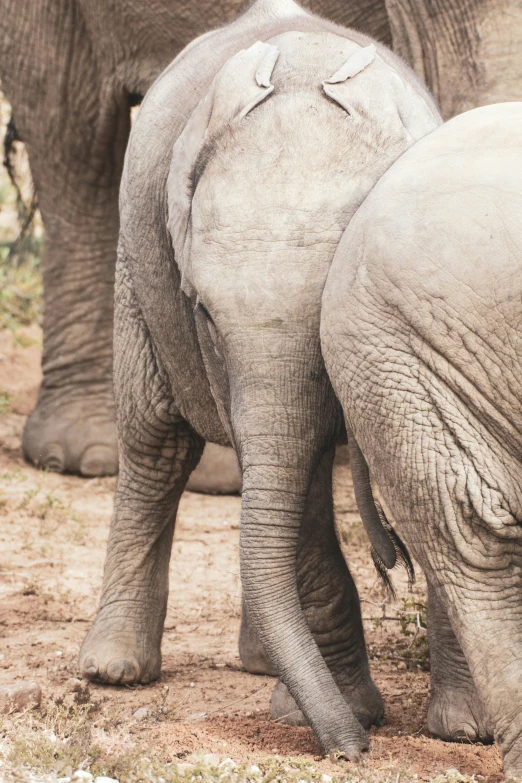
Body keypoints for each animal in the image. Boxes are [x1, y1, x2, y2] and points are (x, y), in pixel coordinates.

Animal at [79, 0, 438, 760]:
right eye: (205, 314)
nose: (350, 754)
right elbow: (290, 477)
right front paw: (337, 718)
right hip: (135, 265)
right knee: (157, 442)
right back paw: (113, 668)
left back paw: (258, 663)